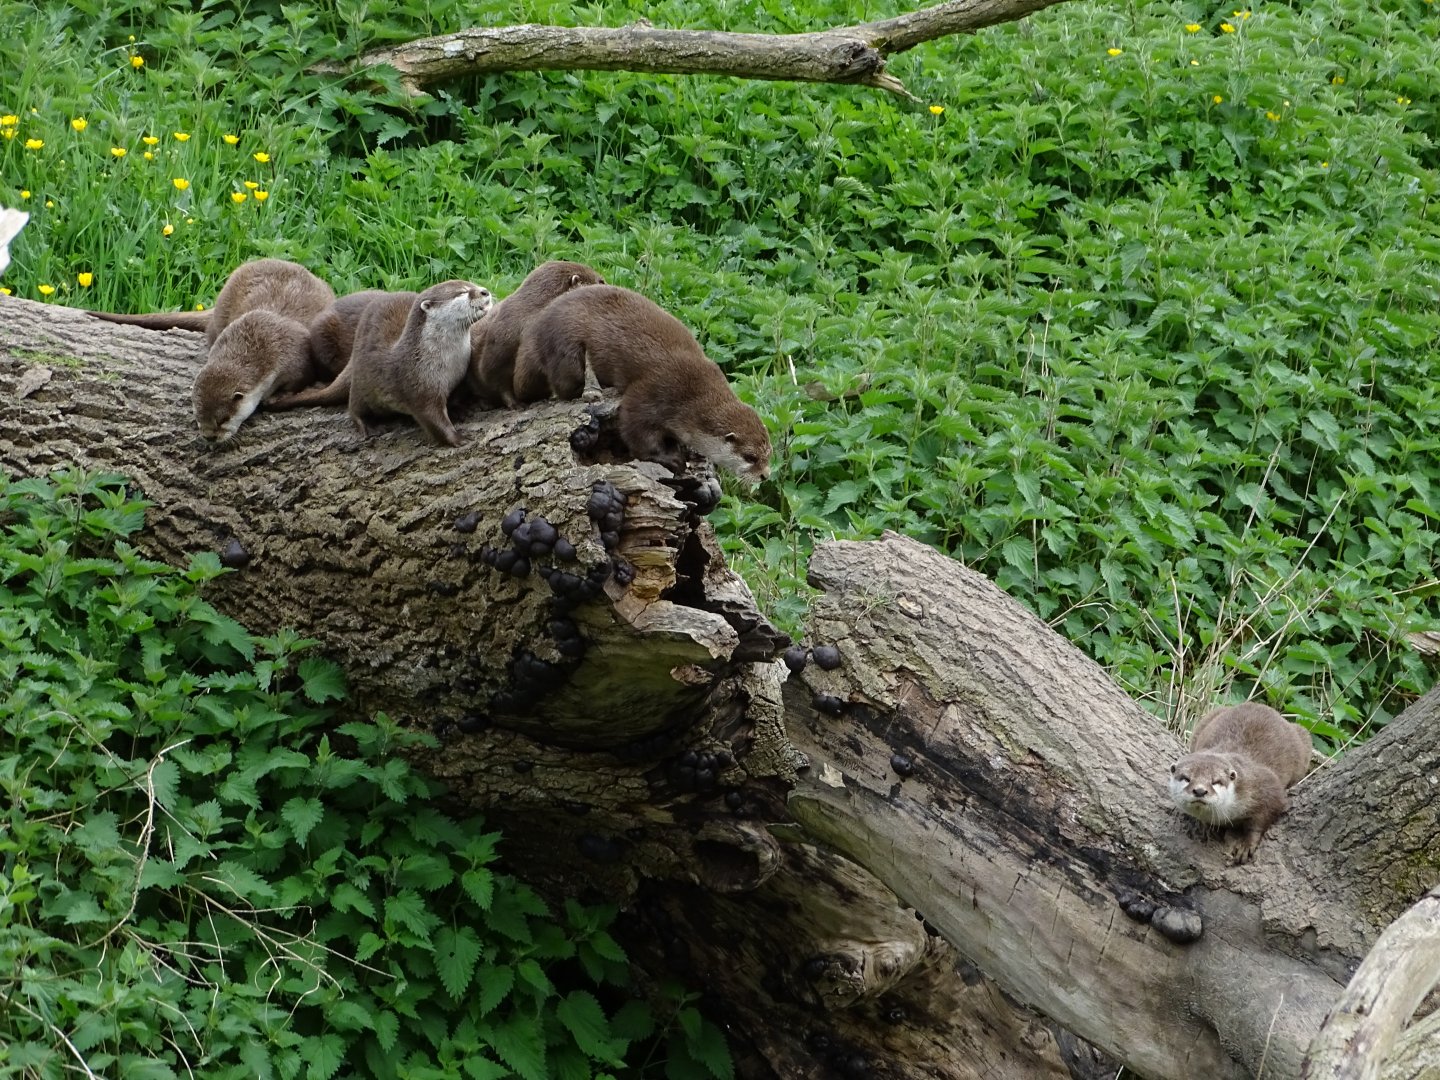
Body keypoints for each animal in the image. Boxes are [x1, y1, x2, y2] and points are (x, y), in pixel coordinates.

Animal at [269, 280, 492, 446]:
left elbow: (455, 398)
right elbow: (432, 419)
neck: (446, 362)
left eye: (472, 283)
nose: (485, 291)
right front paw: (458, 438)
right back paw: (367, 425)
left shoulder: (458, 377)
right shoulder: (417, 385)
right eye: (462, 292)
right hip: (363, 382)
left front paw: (465, 408)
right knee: (354, 406)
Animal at [511, 285, 771, 483]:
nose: (765, 476)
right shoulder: (653, 392)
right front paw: (670, 458)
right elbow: (635, 430)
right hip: (566, 350)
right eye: (750, 457)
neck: (693, 392)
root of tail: (536, 330)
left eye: (768, 455)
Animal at [1169, 702, 1312, 864]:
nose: (1200, 791)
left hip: (1303, 738)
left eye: (1216, 781)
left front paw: (1247, 845)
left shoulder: (1266, 786)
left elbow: (1264, 817)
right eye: (1186, 778)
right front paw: (1204, 827)